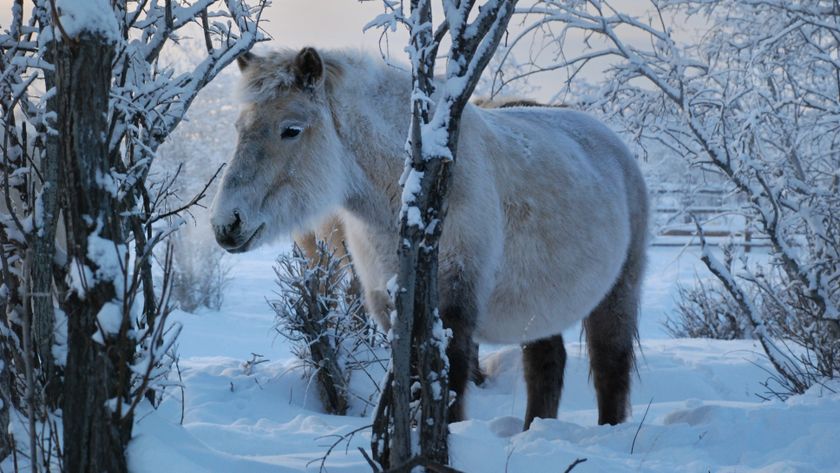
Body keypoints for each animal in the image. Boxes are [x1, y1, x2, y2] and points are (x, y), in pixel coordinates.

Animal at [210, 47, 649, 429]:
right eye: (238, 128)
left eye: (291, 130)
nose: (226, 223)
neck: (415, 192)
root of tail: (615, 146)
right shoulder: (390, 307)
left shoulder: (452, 307)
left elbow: (446, 390)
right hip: (538, 306)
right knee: (546, 365)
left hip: (617, 293)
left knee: (609, 366)